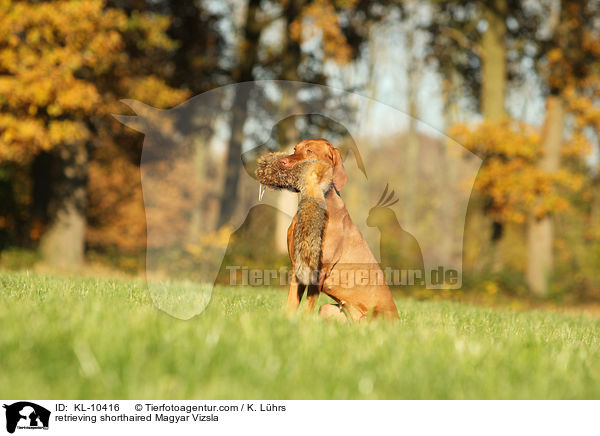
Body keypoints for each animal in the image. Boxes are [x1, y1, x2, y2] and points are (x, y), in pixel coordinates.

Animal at [254, 138, 398, 322]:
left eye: (309, 151)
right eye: (295, 149)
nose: (282, 162)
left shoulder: (319, 271)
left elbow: (308, 307)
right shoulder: (298, 266)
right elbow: (291, 305)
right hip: (328, 309)